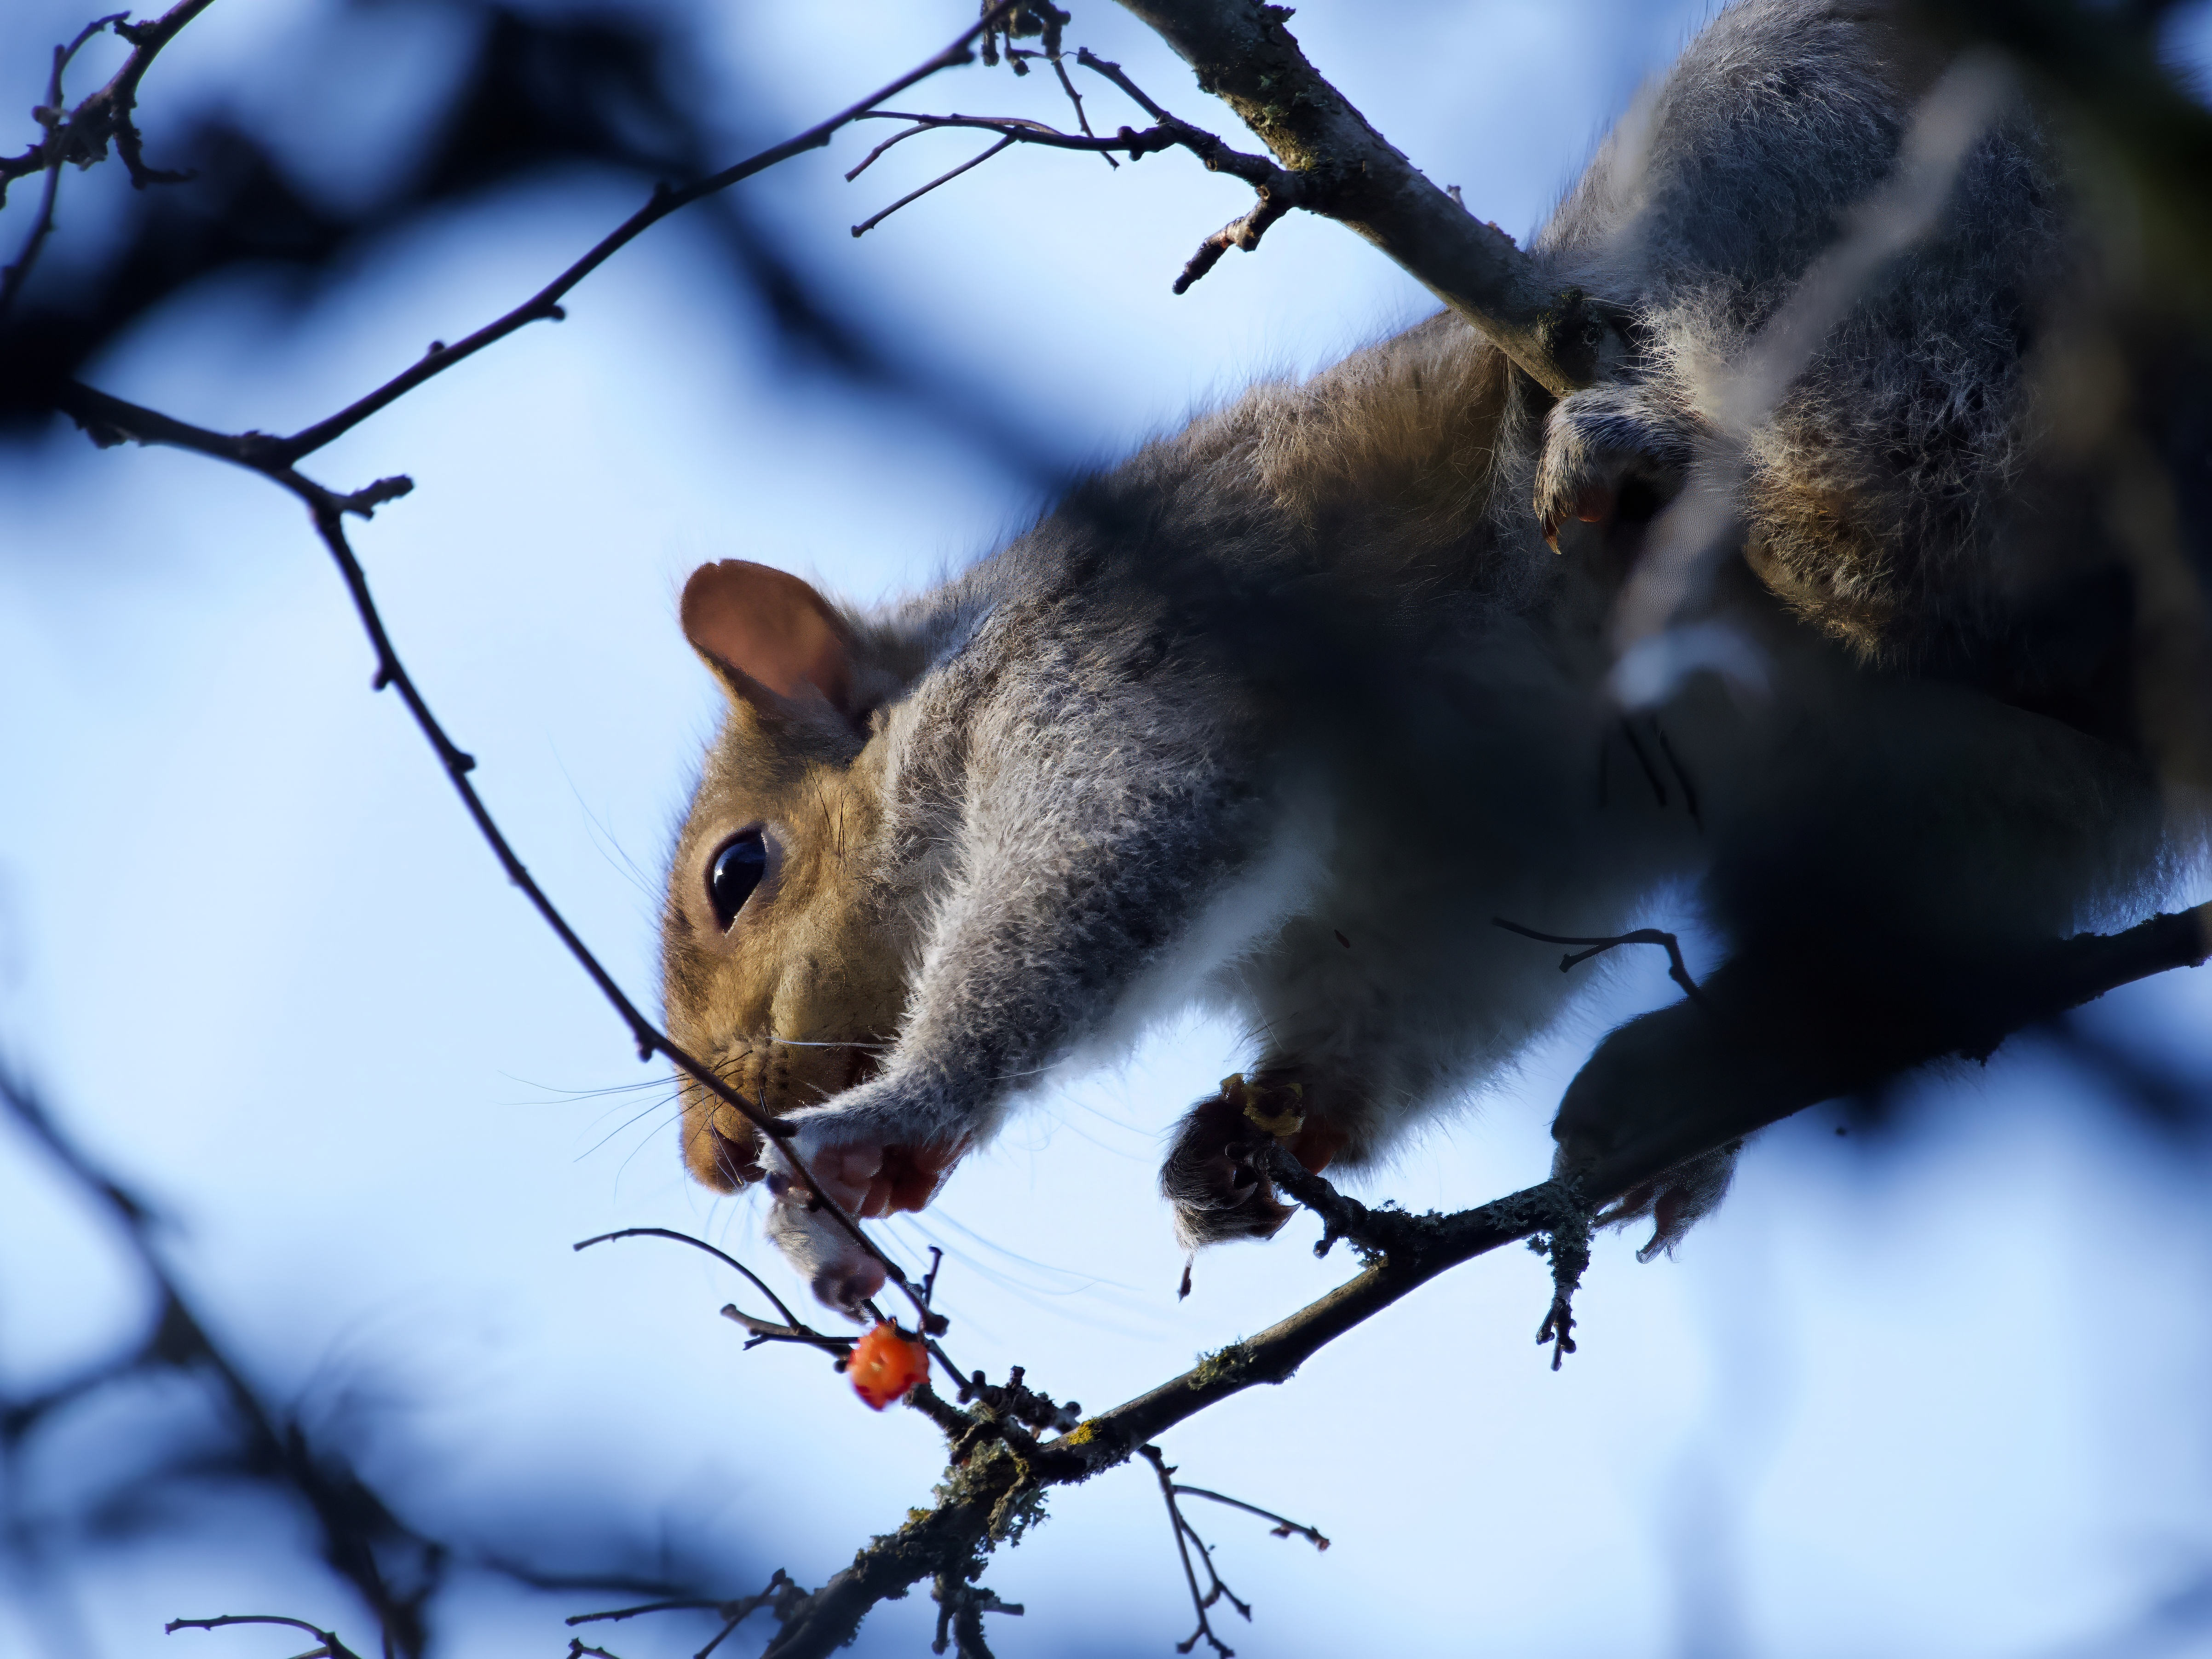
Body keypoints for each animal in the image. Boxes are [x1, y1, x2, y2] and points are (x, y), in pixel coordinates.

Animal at [660, 0, 2198, 1310]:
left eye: (738, 872)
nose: (713, 1157)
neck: (963, 677)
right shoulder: (1460, 865)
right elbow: (1424, 999)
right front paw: (1250, 1137)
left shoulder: (1118, 664)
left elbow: (1099, 873)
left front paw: (887, 1118)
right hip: (1965, 800)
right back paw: (1686, 1075)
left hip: (1826, 184)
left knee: (1905, 445)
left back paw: (1681, 469)